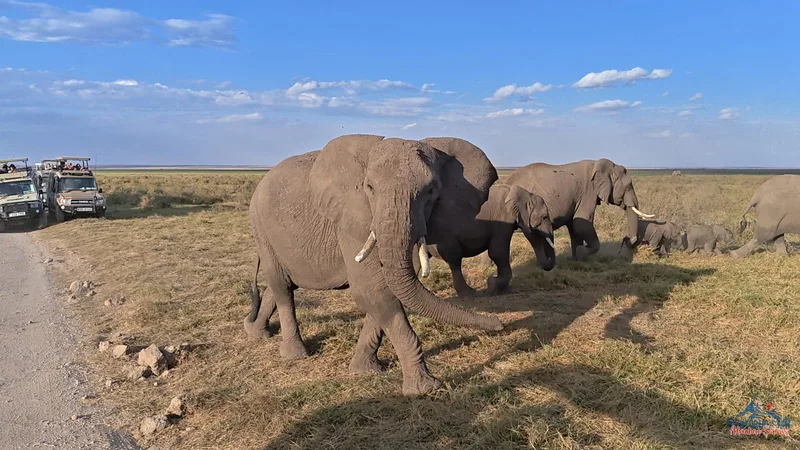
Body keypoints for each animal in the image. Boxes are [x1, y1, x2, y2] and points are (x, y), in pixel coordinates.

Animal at [245, 134, 503, 396]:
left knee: (280, 285)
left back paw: (258, 333)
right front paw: (425, 389)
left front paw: (363, 371)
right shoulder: (352, 218)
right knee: (281, 286)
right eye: (369, 187)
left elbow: (388, 290)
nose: (500, 326)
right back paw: (295, 355)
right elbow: (373, 291)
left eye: (431, 191)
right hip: (259, 225)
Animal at [426, 183, 555, 297]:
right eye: (544, 217)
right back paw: (469, 294)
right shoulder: (503, 219)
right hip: (444, 235)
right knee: (454, 260)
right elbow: (497, 253)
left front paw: (502, 290)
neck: (524, 194)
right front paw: (492, 285)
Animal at [504, 159, 655, 260]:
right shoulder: (588, 193)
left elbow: (574, 226)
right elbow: (581, 224)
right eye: (629, 186)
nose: (631, 239)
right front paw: (582, 252)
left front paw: (576, 259)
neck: (601, 165)